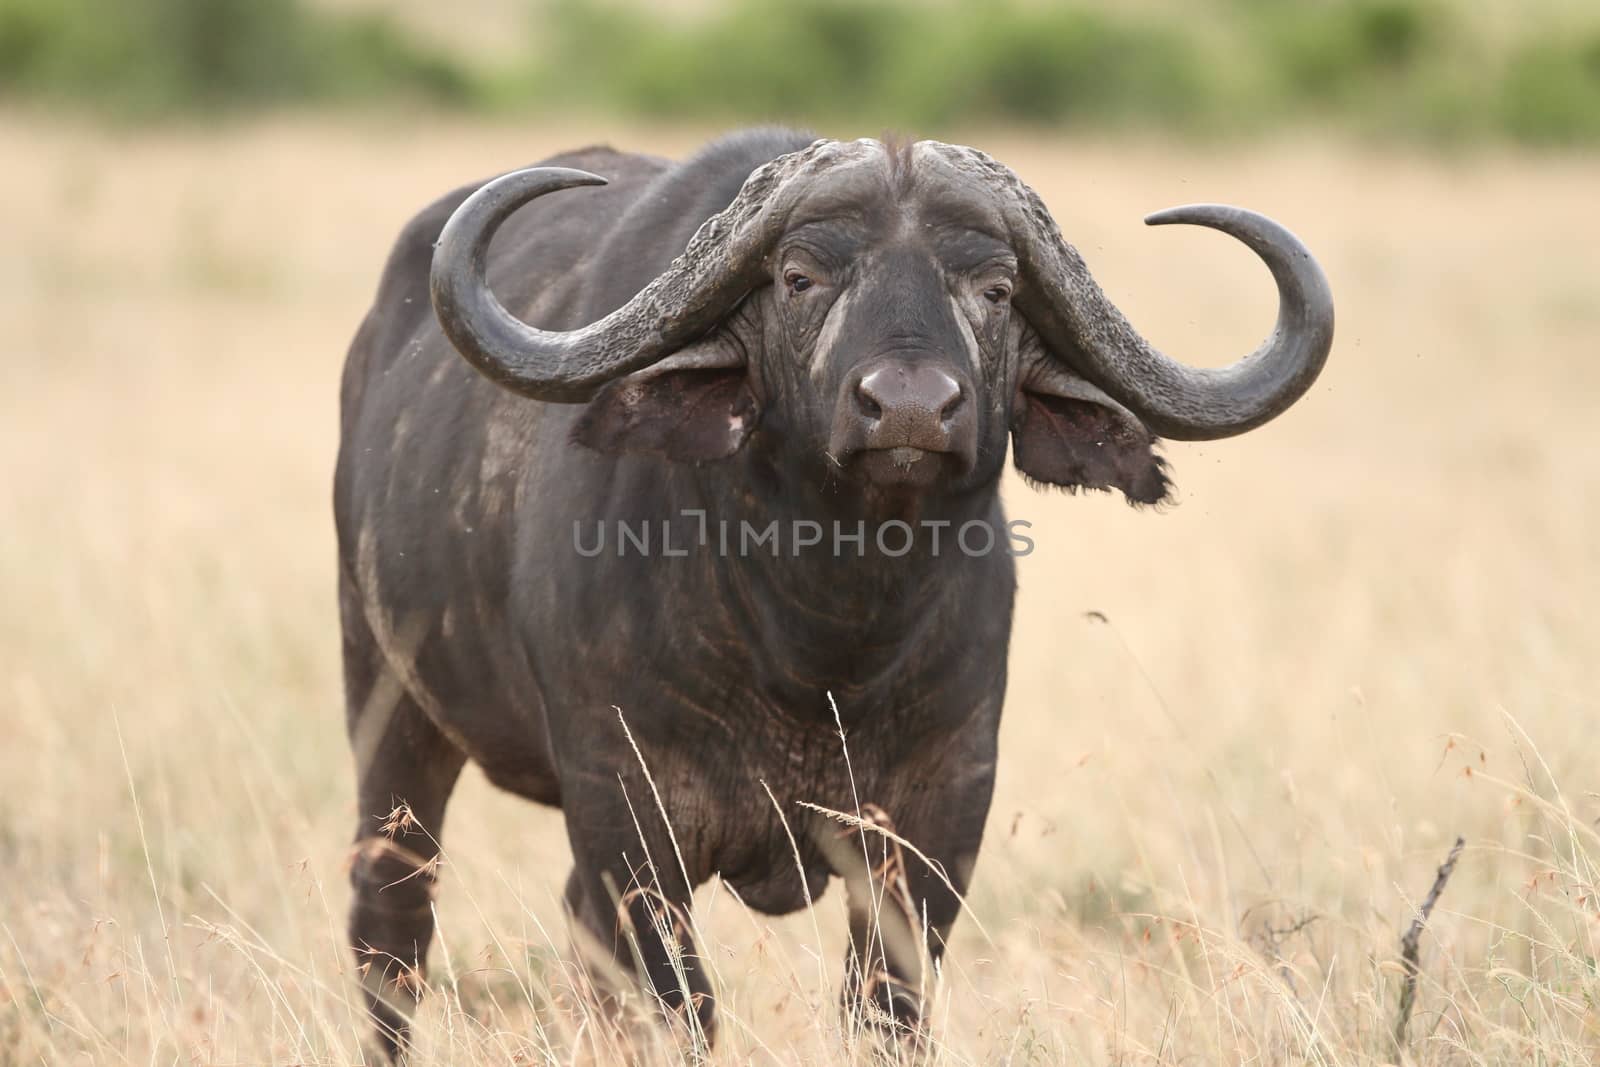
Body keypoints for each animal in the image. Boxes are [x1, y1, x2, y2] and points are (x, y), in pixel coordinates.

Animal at [340, 129, 1337, 1055]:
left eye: (996, 289)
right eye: (799, 276)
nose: (909, 408)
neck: (822, 637)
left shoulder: (938, 818)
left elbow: (884, 1009)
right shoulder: (625, 811)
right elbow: (681, 1006)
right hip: (388, 711)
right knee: (393, 922)